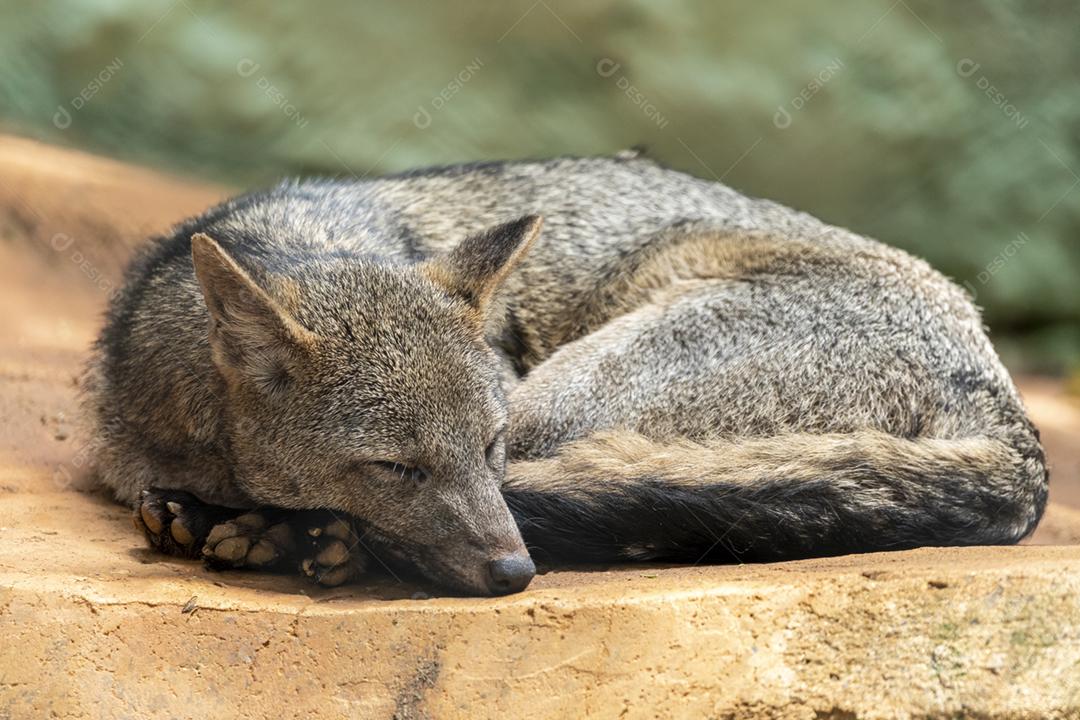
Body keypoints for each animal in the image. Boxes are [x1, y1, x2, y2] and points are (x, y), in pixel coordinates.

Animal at [82, 152, 1045, 595]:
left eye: (489, 446)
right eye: (396, 467)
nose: (517, 574)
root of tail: (999, 386)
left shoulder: (515, 423)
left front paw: (283, 528)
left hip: (569, 398)